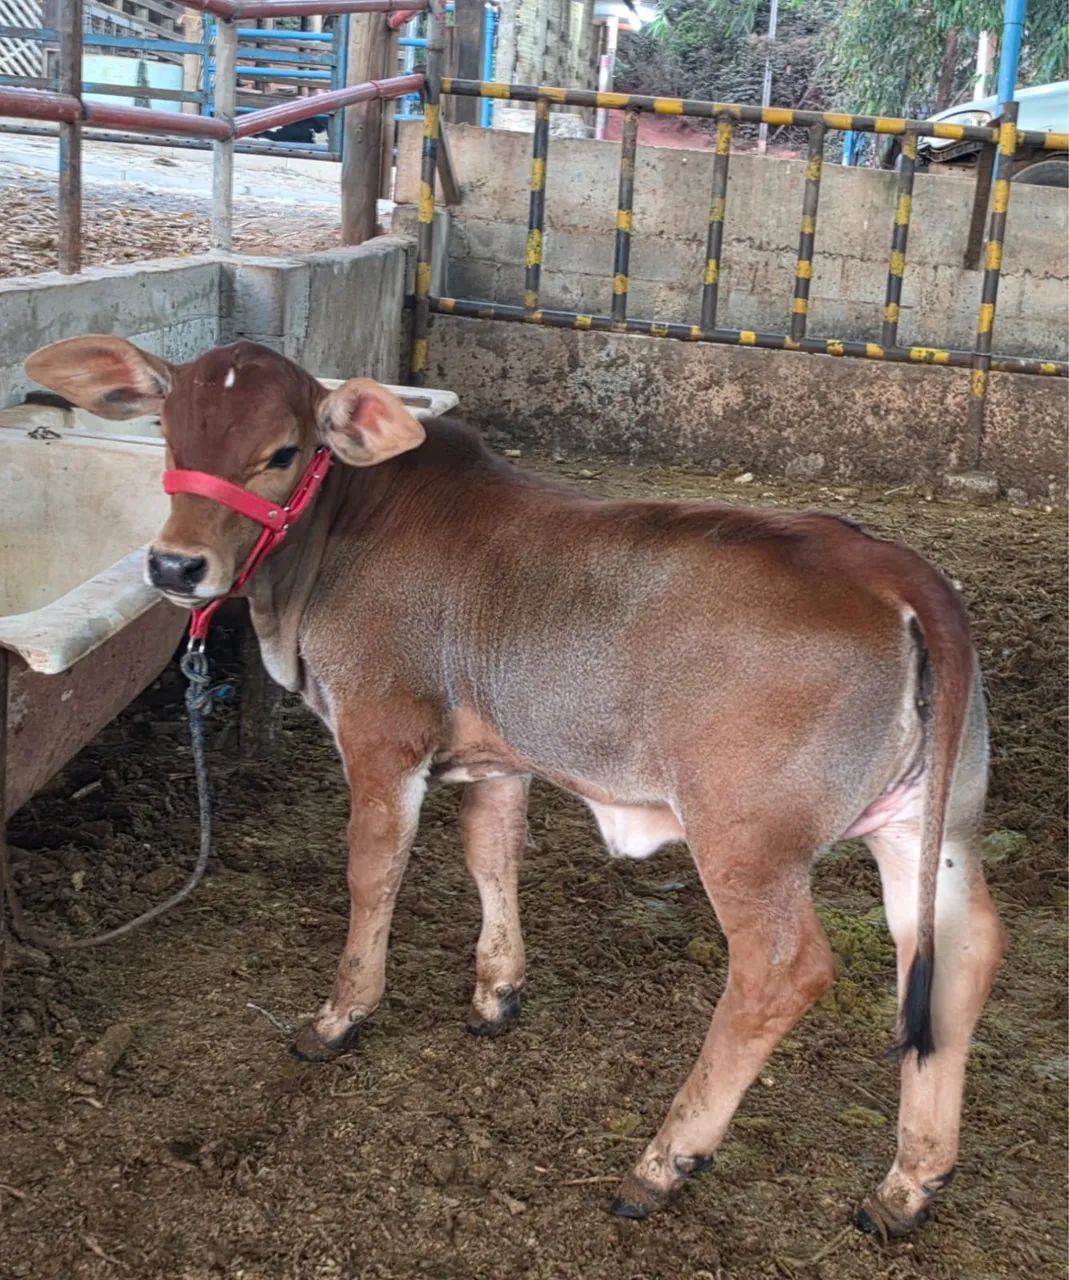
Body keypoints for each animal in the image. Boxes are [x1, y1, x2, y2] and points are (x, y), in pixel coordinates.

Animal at [25, 336, 1005, 1239]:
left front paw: (339, 1017)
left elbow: (372, 873)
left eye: (284, 451)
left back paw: (662, 1161)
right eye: (168, 429)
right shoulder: (496, 758)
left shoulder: (383, 734)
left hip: (746, 835)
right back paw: (906, 1185)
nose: (174, 567)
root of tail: (892, 567)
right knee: (957, 955)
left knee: (781, 971)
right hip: (933, 826)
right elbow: (490, 855)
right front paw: (496, 993)